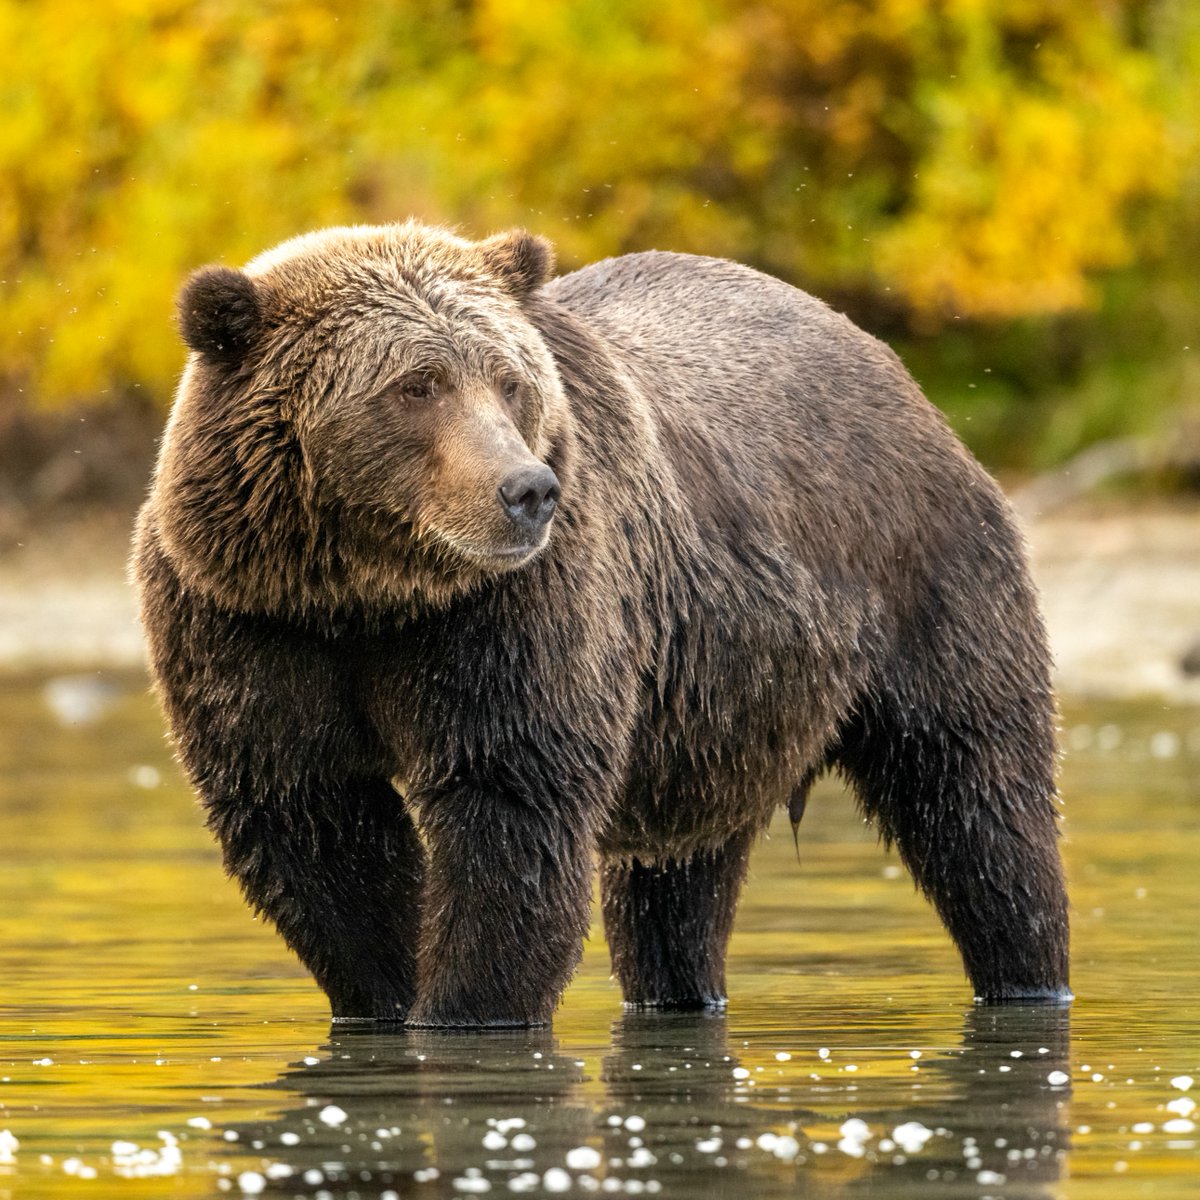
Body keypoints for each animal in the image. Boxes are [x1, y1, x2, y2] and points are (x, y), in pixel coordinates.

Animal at [133, 221, 1070, 1027]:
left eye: (509, 380)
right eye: (416, 385)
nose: (525, 489)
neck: (371, 593)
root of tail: (891, 366)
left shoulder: (512, 614)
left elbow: (508, 809)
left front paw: (465, 1009)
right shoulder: (246, 622)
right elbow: (314, 820)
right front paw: (387, 998)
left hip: (922, 578)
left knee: (977, 800)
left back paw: (1029, 975)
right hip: (718, 708)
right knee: (678, 884)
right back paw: (680, 991)